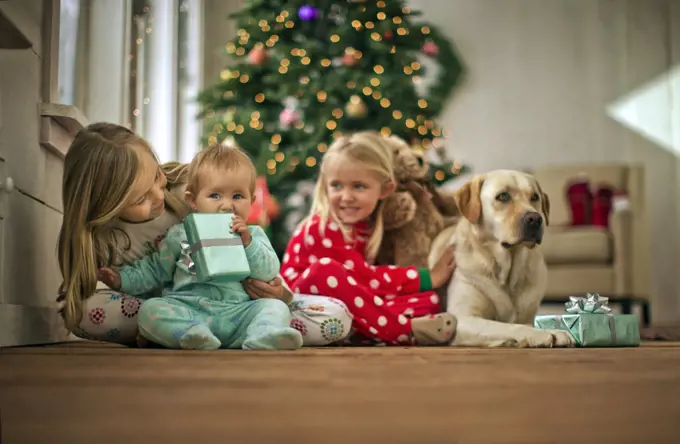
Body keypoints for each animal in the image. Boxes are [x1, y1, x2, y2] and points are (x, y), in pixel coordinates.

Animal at [430, 170, 572, 346]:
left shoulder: (528, 317)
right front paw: (541, 334)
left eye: (534, 197)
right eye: (503, 196)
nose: (535, 219)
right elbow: (509, 326)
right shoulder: (462, 319)